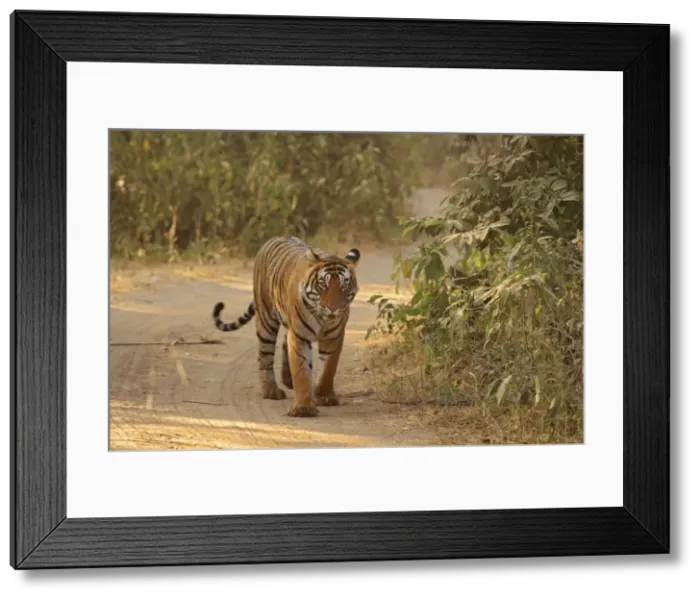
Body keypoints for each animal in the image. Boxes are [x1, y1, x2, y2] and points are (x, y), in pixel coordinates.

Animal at [212, 235, 360, 417]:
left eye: (343, 286)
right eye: (322, 285)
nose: (333, 308)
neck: (322, 317)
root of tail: (274, 238)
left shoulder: (333, 336)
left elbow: (328, 369)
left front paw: (324, 397)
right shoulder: (299, 335)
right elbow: (301, 370)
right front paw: (303, 408)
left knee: (283, 343)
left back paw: (287, 380)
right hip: (266, 320)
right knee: (264, 356)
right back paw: (271, 391)